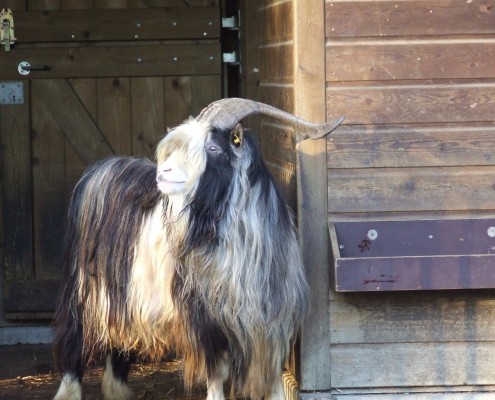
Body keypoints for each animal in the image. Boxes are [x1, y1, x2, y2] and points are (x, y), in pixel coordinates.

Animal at [51, 97, 344, 400]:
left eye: (213, 148)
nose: (163, 174)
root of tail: (98, 171)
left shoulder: (271, 321)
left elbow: (271, 374)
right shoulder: (205, 319)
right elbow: (217, 371)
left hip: (122, 293)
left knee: (119, 334)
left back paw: (117, 390)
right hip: (83, 287)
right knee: (75, 334)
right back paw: (69, 391)